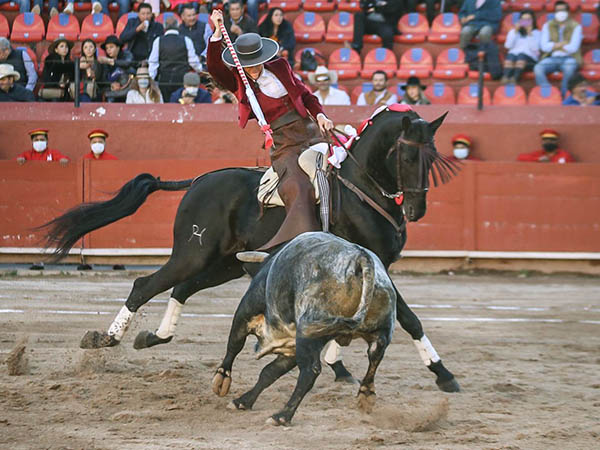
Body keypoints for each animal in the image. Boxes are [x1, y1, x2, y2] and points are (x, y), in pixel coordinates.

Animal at [41, 106, 460, 393]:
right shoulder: (376, 266)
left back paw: (153, 337)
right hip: (193, 254)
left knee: (180, 288)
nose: (416, 210)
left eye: (434, 158)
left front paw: (339, 366)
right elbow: (409, 318)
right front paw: (443, 374)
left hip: (225, 263)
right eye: (408, 156)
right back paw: (107, 338)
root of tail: (199, 180)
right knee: (146, 285)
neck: (361, 188)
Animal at [211, 232, 397, 426]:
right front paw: (243, 401)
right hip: (379, 331)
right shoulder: (291, 347)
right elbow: (269, 372)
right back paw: (365, 394)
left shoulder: (246, 311)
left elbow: (235, 344)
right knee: (375, 355)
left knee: (310, 371)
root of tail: (361, 258)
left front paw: (221, 379)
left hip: (307, 333)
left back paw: (282, 416)